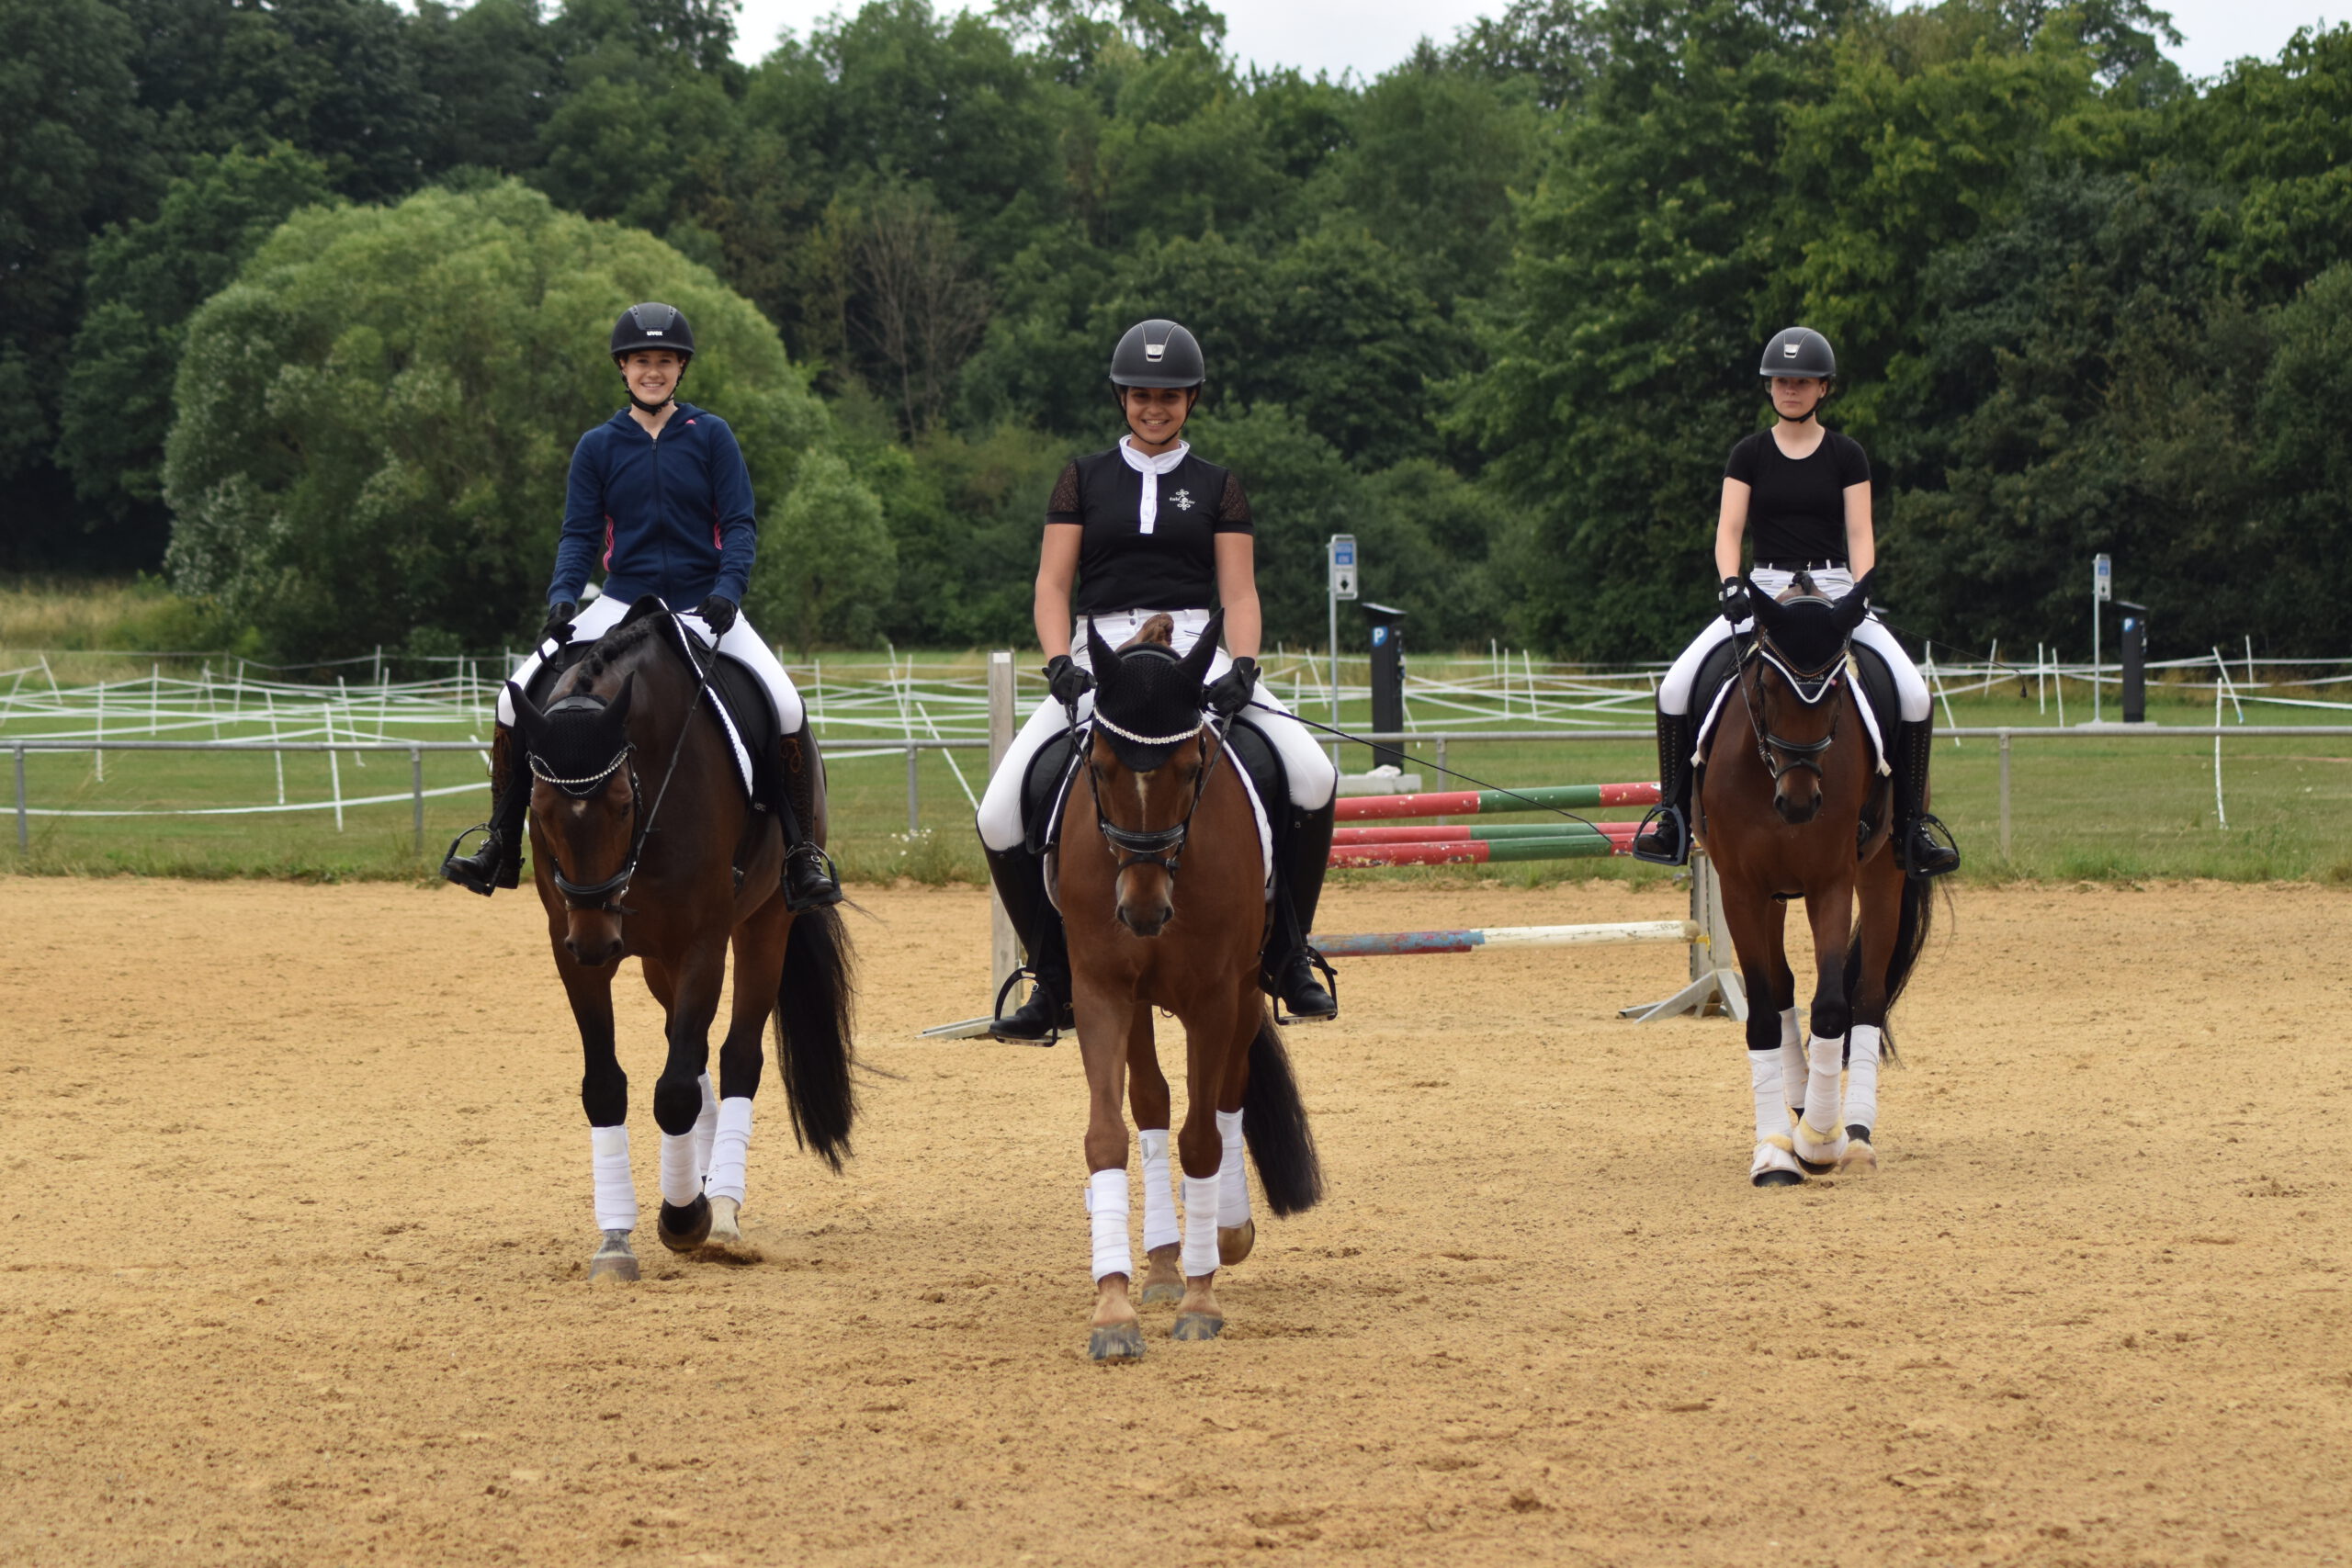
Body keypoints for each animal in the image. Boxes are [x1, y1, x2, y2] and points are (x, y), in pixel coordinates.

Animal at [507, 604, 857, 1282]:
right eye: (539, 806)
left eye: (621, 805)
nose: (598, 941)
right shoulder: (570, 948)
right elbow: (607, 1084)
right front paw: (616, 1238)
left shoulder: (704, 941)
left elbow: (673, 1092)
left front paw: (684, 1219)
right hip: (655, 960)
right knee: (688, 1052)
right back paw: (701, 1181)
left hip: (764, 925)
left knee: (736, 1057)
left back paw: (720, 1209)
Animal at [1056, 612, 1324, 1361]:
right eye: (1100, 766)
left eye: (1190, 766)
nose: (1143, 911)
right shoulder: (1103, 990)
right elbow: (1107, 1135)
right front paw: (1113, 1309)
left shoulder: (1213, 997)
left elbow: (1204, 1138)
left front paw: (1202, 1301)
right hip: (1144, 1002)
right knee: (1151, 1101)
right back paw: (1163, 1263)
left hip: (1242, 993)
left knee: (1228, 1098)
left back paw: (1223, 1236)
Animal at [1698, 573, 1935, 1188]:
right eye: (1765, 686)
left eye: (1834, 692)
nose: (1800, 804)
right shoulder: (1740, 888)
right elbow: (1762, 1013)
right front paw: (1774, 1153)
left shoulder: (1832, 881)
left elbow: (1832, 1006)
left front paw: (1819, 1141)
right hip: (1773, 896)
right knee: (1781, 988)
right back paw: (1800, 1105)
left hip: (1881, 877)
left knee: (1869, 997)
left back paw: (1852, 1134)